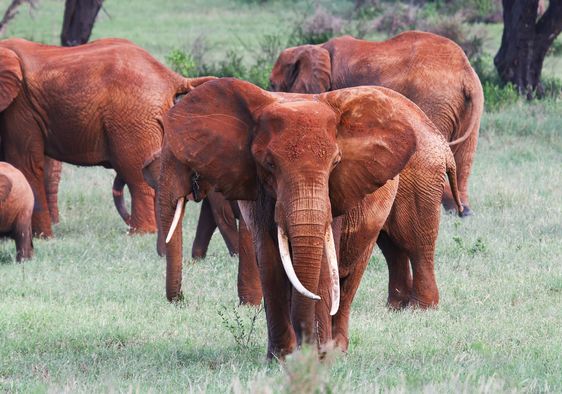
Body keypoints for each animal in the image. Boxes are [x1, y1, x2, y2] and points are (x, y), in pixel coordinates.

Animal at [0, 37, 214, 237]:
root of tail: (170, 76)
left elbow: (24, 164)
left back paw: (141, 233)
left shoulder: (20, 107)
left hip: (132, 118)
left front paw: (41, 238)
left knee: (136, 174)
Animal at [150, 78, 460, 358]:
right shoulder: (256, 188)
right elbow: (270, 260)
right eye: (269, 164)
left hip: (420, 175)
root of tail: (441, 142)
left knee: (408, 245)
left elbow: (322, 260)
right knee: (390, 247)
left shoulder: (335, 192)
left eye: (336, 163)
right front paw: (281, 357)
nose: (180, 300)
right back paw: (392, 310)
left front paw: (317, 355)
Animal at [266, 30, 482, 215]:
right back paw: (463, 211)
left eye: (273, 84)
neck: (318, 47)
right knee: (465, 155)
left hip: (434, 99)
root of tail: (465, 73)